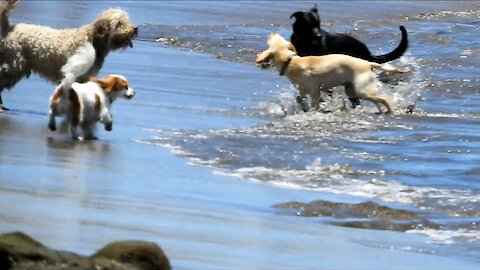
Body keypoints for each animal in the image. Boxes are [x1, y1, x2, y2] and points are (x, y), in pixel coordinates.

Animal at [0, 0, 138, 112]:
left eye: (127, 20)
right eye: (120, 23)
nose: (135, 29)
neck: (93, 40)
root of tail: (10, 28)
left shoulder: (83, 77)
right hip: (14, 66)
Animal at [255, 32, 404, 113]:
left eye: (272, 39)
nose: (273, 32)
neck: (291, 62)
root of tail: (368, 63)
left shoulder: (315, 91)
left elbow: (315, 103)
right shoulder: (303, 90)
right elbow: (298, 98)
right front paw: (303, 107)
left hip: (362, 90)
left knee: (384, 99)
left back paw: (391, 112)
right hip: (354, 90)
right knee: (376, 101)